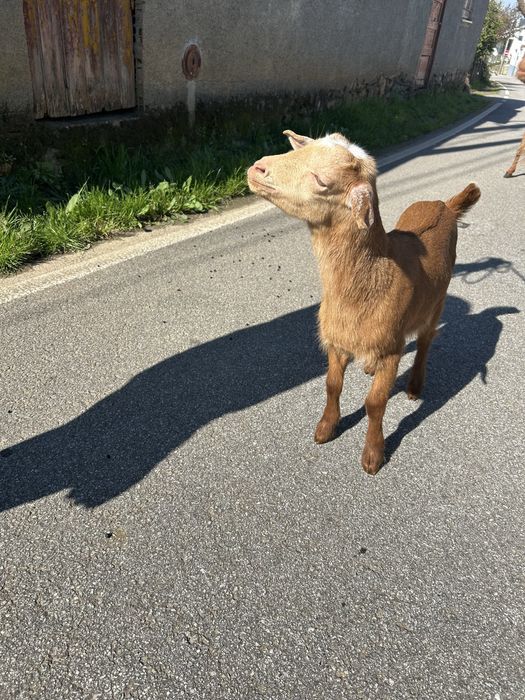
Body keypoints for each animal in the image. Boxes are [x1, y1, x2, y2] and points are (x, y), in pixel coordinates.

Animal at [247, 131, 480, 474]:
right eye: (301, 149)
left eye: (322, 180)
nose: (257, 168)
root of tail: (445, 205)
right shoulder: (337, 340)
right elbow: (332, 385)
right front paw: (326, 428)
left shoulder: (391, 349)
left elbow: (375, 403)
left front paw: (373, 454)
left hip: (436, 303)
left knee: (426, 341)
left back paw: (414, 386)